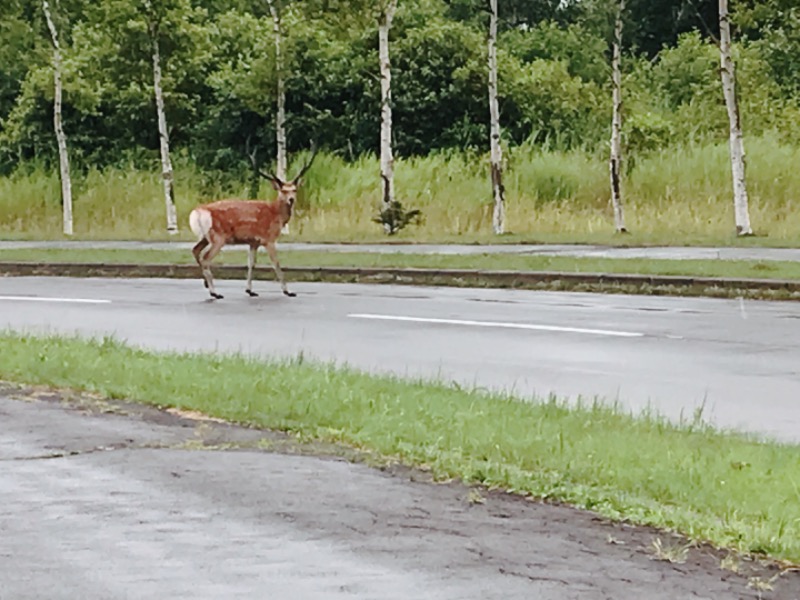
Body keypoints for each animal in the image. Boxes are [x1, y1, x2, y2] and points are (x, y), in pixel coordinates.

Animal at [188, 146, 316, 300]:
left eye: (294, 190)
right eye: (283, 190)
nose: (291, 199)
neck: (275, 214)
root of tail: (198, 211)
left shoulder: (253, 241)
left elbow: (251, 264)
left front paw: (250, 290)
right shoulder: (269, 239)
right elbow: (276, 263)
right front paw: (288, 291)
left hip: (206, 237)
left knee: (195, 250)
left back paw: (207, 284)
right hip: (218, 237)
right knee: (205, 258)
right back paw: (215, 293)